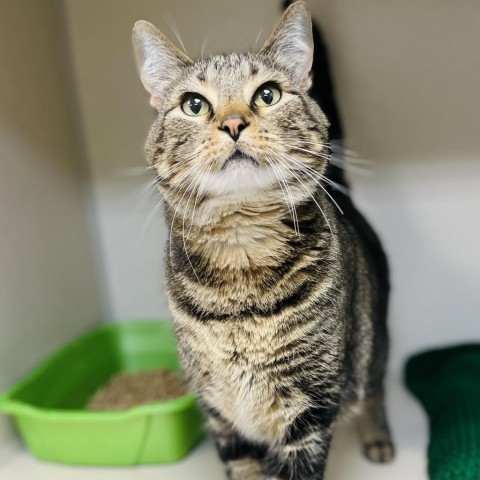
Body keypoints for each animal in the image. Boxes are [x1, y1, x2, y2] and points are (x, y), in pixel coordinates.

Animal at [132, 1, 394, 478]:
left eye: (267, 94)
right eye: (193, 104)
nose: (234, 122)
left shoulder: (308, 411)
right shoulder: (221, 415)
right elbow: (243, 466)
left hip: (374, 342)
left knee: (374, 387)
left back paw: (378, 438)